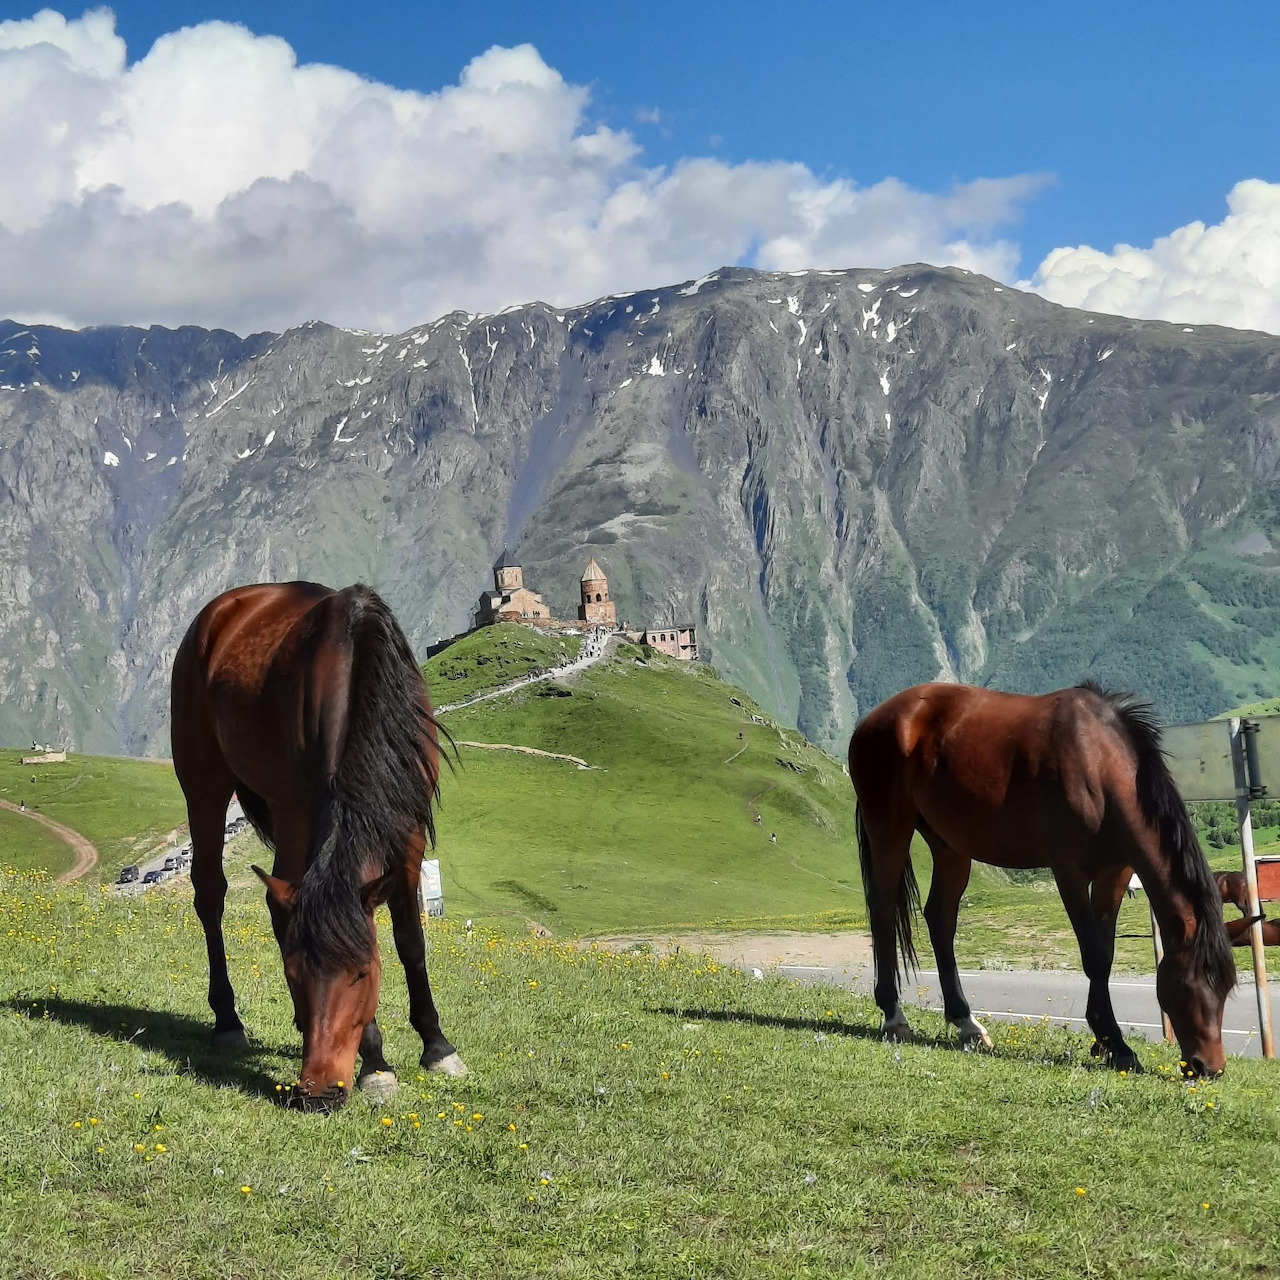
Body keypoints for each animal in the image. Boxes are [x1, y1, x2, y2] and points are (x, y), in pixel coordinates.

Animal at [171, 581, 466, 1112]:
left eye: (363, 974)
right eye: (292, 974)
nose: (318, 1091)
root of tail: (220, 610)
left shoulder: (408, 830)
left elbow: (410, 940)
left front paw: (437, 1046)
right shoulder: (298, 814)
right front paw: (377, 1065)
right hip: (204, 783)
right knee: (211, 894)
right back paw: (227, 1022)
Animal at [849, 681, 1236, 1078]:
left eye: (1226, 986)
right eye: (1192, 983)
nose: (1210, 1067)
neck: (1098, 764)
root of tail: (872, 720)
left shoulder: (1114, 874)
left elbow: (1107, 953)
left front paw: (1105, 1042)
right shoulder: (1069, 873)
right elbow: (1094, 956)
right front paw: (1117, 1044)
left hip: (950, 847)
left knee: (940, 918)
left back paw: (967, 1024)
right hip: (890, 829)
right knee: (882, 911)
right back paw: (893, 1016)